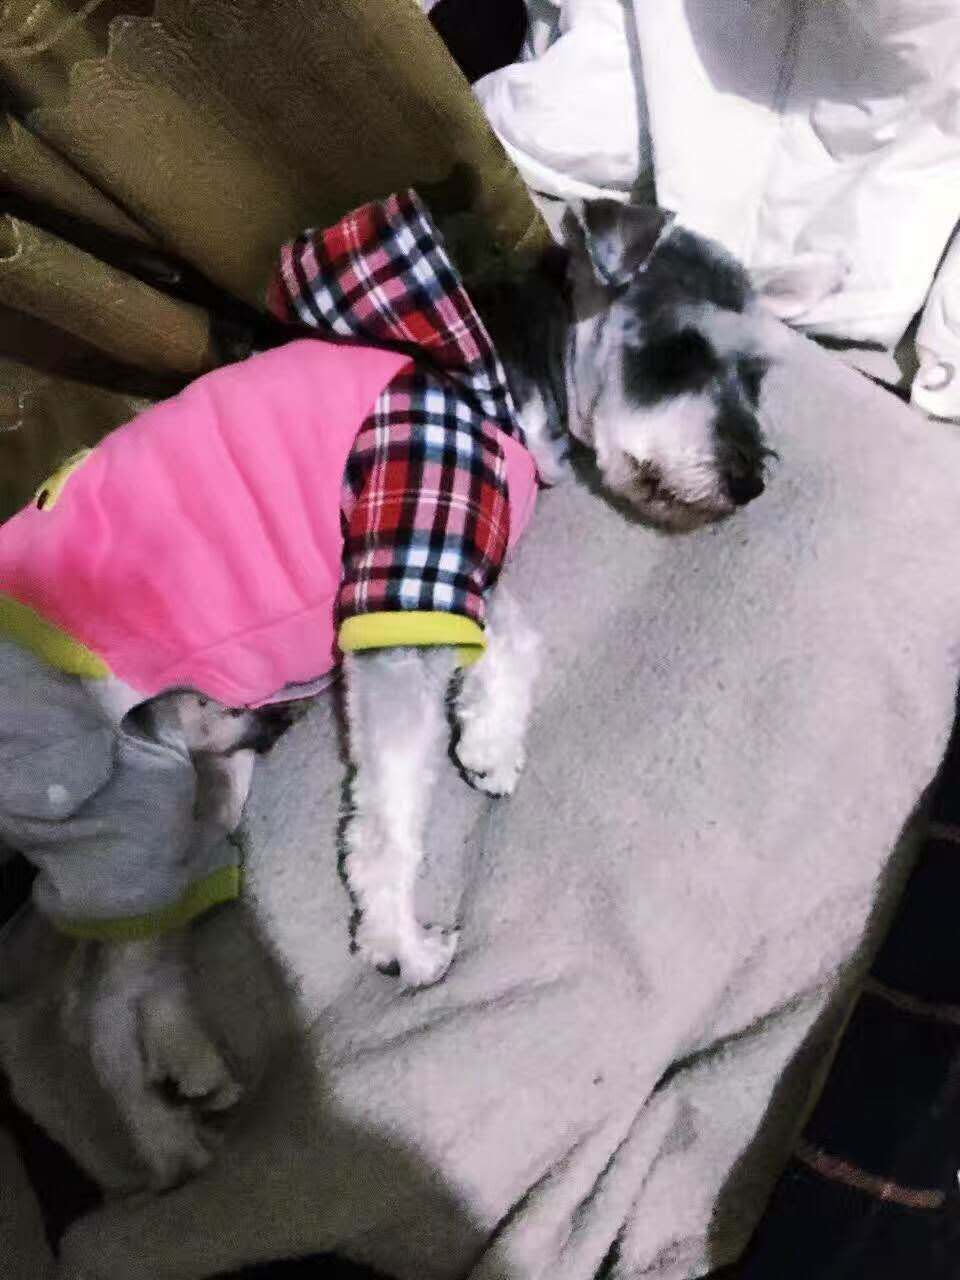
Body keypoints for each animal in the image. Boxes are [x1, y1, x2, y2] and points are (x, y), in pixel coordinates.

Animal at [0, 196, 776, 1188]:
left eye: (758, 375)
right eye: (681, 349)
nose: (749, 480)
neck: (494, 367)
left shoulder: (439, 567)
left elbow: (514, 638)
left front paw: (489, 743)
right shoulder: (401, 580)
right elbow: (392, 818)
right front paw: (402, 943)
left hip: (188, 795)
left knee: (137, 963)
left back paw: (190, 1058)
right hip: (111, 802)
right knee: (88, 1014)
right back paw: (165, 1143)